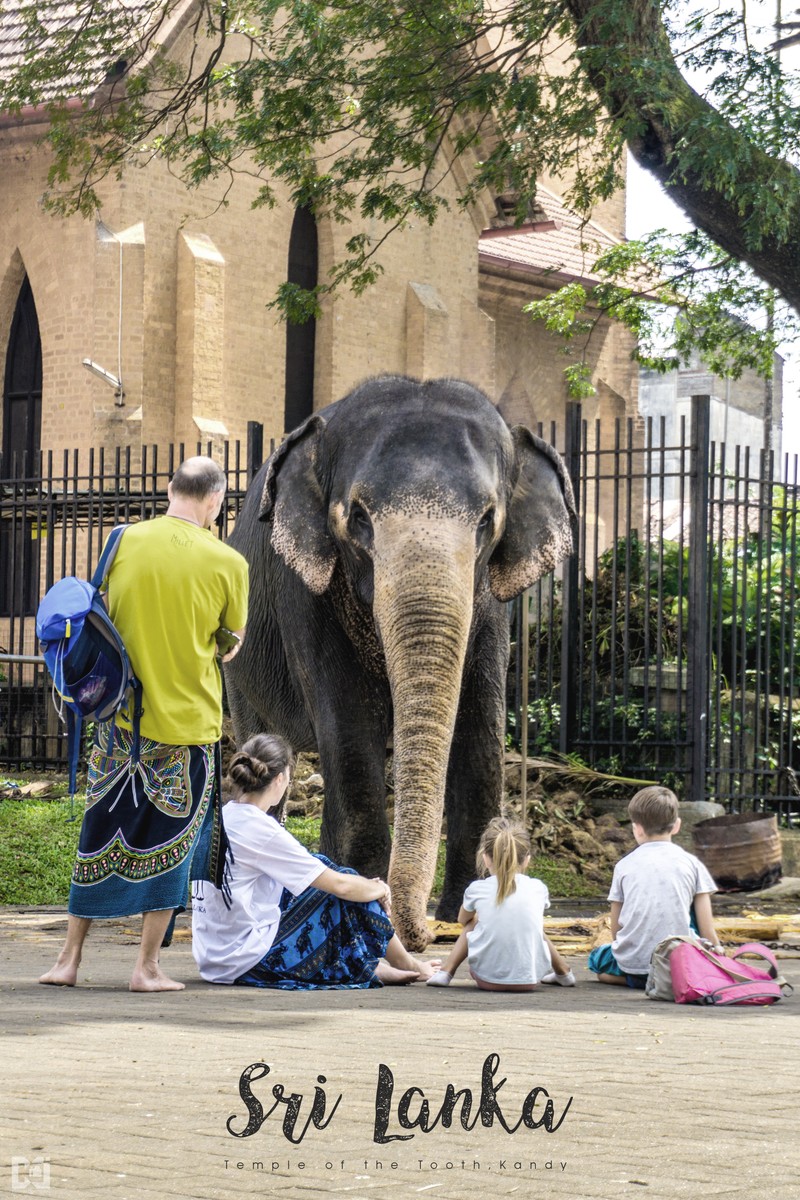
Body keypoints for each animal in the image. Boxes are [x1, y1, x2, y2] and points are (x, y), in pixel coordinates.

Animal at [225, 369, 575, 950]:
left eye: (488, 520)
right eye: (358, 517)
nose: (424, 934)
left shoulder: (488, 607)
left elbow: (480, 728)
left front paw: (466, 912)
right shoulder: (305, 594)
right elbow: (349, 726)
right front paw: (367, 899)